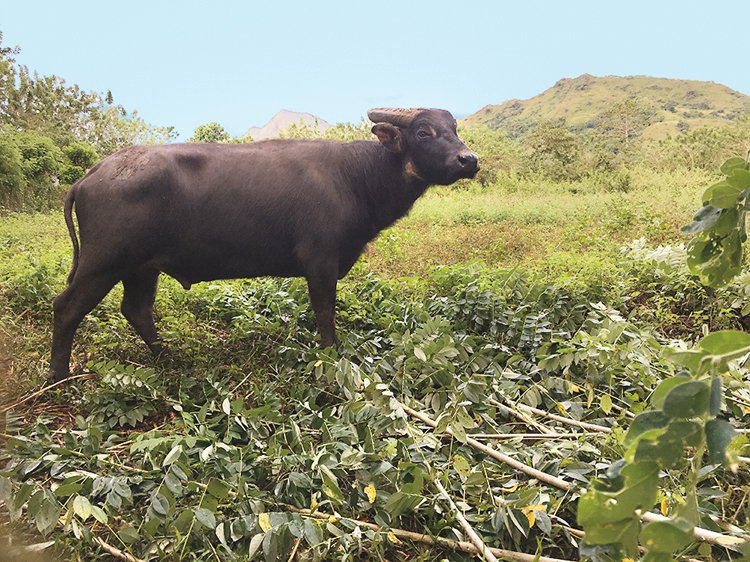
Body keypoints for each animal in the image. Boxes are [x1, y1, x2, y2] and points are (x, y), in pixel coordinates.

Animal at [50, 107, 478, 378]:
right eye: (423, 132)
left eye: (455, 129)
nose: (468, 160)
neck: (356, 177)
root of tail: (91, 174)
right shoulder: (320, 262)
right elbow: (325, 315)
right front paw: (332, 355)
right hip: (102, 262)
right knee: (66, 308)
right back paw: (58, 376)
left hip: (141, 267)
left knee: (136, 310)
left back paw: (168, 357)